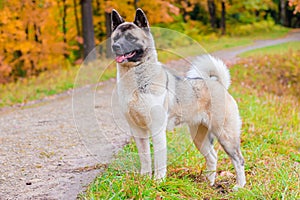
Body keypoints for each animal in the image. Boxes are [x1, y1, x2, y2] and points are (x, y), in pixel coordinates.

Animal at [110, 8, 246, 189]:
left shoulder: (157, 130)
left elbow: (159, 160)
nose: (115, 46)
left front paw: (158, 182)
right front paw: (144, 179)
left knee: (238, 159)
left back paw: (240, 186)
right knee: (212, 156)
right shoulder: (138, 131)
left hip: (225, 134)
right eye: (116, 37)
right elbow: (145, 158)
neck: (136, 81)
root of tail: (219, 84)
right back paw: (208, 183)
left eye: (131, 38)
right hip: (199, 136)